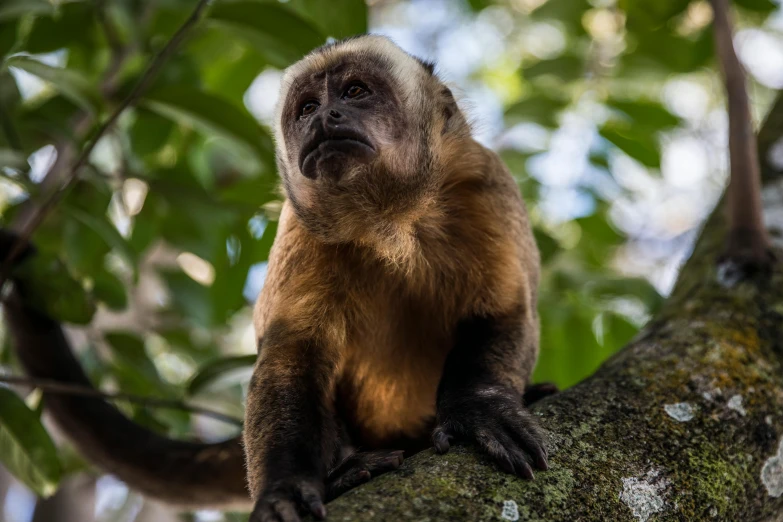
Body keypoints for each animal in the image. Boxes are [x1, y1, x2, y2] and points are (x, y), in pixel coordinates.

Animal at [0, 35, 552, 520]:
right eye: (306, 108)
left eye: (355, 92)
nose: (326, 117)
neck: (392, 220)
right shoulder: (301, 227)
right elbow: (292, 354)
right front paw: (285, 488)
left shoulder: (483, 183)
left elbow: (504, 310)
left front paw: (478, 411)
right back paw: (345, 472)